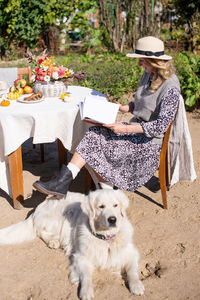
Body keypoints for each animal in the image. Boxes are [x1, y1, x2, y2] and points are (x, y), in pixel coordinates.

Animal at [0, 189, 144, 298]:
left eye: (115, 205)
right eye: (101, 206)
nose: (112, 219)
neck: (106, 238)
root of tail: (40, 206)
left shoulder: (131, 253)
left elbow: (132, 270)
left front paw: (136, 285)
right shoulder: (81, 256)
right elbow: (86, 276)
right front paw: (85, 291)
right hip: (60, 218)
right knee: (40, 230)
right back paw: (53, 241)